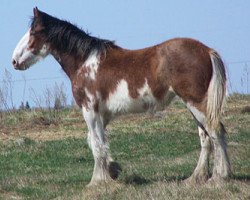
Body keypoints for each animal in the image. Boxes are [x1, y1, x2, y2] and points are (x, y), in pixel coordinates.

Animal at [11, 7, 230, 186]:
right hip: (192, 104)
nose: (14, 61)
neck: (85, 62)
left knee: (215, 132)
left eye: (33, 32)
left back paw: (219, 177)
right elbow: (97, 141)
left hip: (196, 102)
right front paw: (112, 171)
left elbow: (97, 145)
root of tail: (206, 50)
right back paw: (196, 178)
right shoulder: (102, 114)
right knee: (205, 137)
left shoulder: (89, 110)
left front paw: (98, 182)